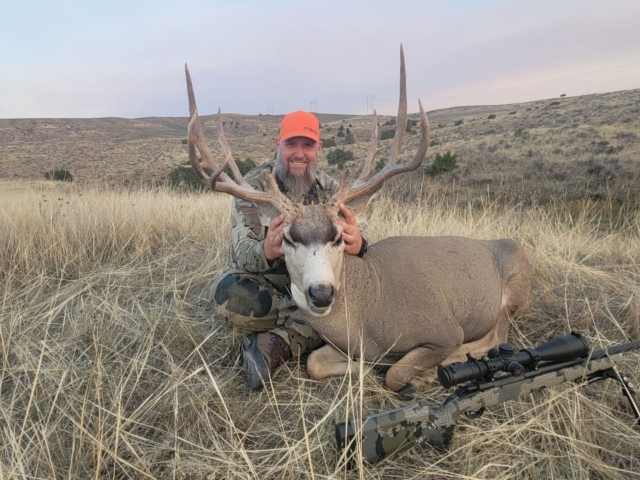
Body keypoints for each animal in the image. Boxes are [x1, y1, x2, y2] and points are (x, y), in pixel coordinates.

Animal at [185, 46, 532, 397]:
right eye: (288, 239)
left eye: (339, 237)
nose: (321, 293)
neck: (369, 312)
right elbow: (316, 363)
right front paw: (369, 368)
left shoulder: (445, 330)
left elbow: (396, 373)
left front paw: (423, 375)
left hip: (513, 293)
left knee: (499, 334)